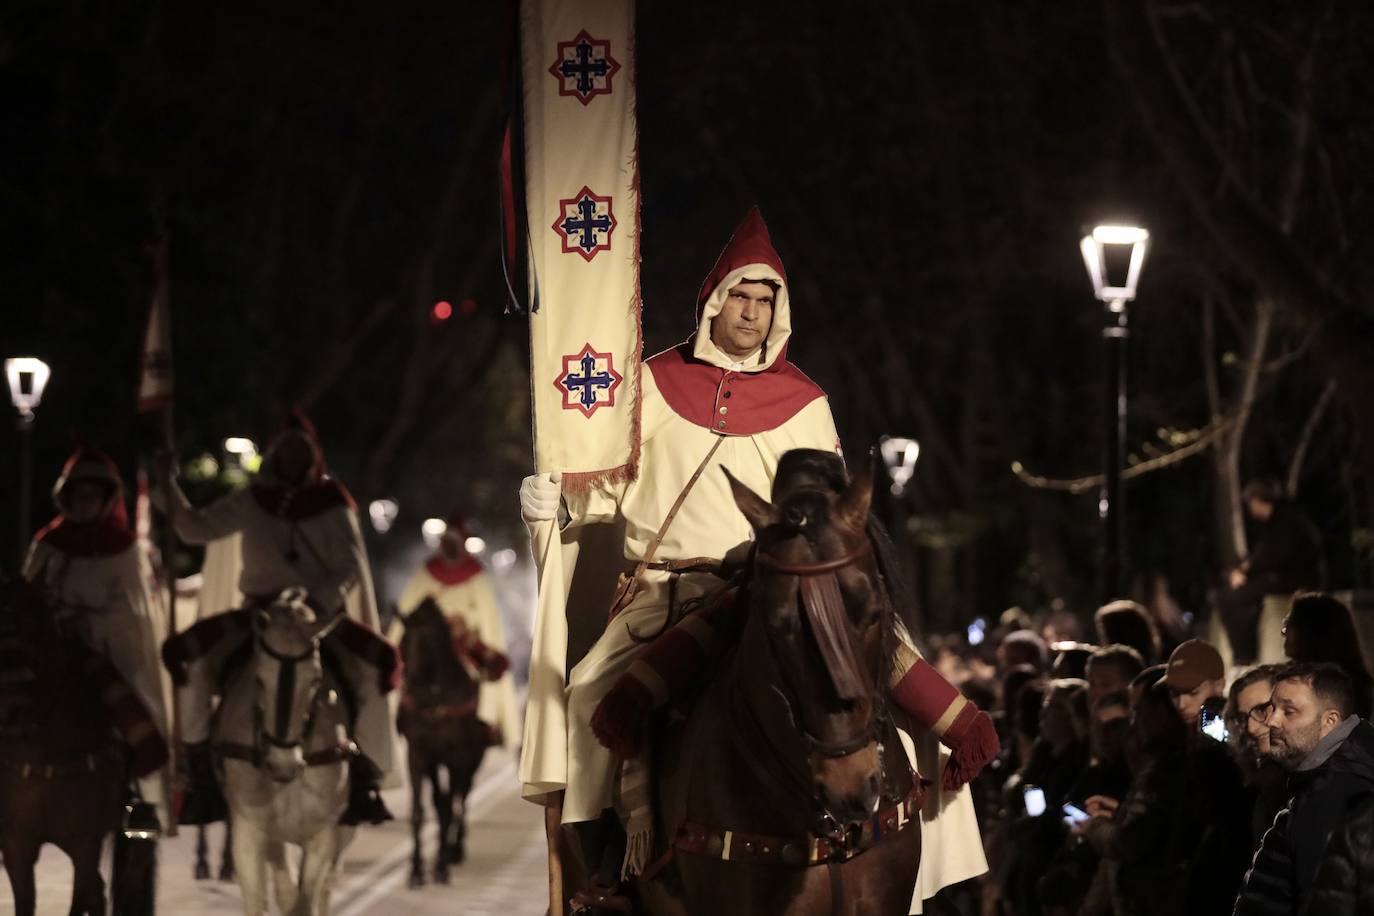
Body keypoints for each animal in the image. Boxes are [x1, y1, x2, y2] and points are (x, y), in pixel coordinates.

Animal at [214, 590, 354, 911]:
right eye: (259, 679)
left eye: (315, 679)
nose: (283, 765)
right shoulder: (249, 831)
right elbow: (262, 897)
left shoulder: (323, 837)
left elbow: (306, 899)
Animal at [395, 598, 491, 884]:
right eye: (403, 643)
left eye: (428, 643)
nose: (410, 692)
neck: (435, 698)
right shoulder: (418, 755)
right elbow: (420, 811)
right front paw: (416, 869)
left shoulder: (455, 757)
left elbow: (450, 807)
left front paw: (440, 867)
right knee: (442, 800)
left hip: (470, 762)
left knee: (461, 798)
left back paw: (455, 849)